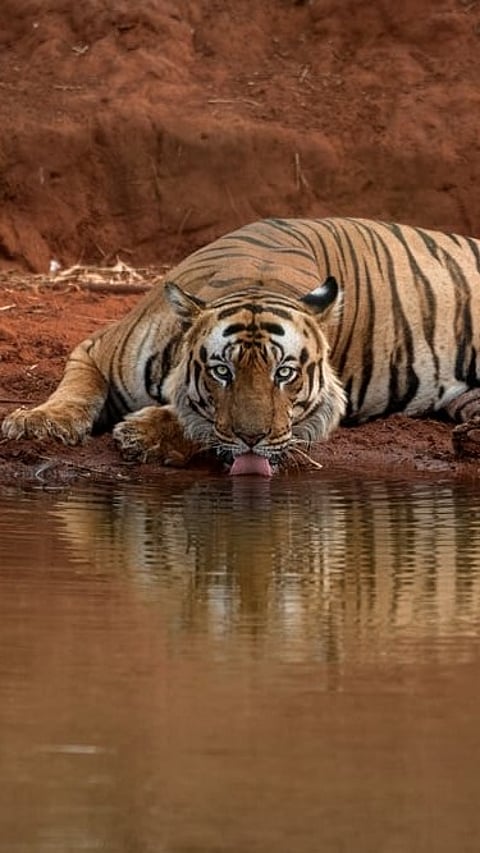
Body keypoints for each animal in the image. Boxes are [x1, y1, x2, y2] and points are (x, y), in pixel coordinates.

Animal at [2, 216, 480, 476]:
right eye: (222, 372)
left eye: (284, 374)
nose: (254, 439)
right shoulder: (95, 349)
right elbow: (76, 390)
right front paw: (39, 423)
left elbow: (203, 427)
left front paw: (145, 434)